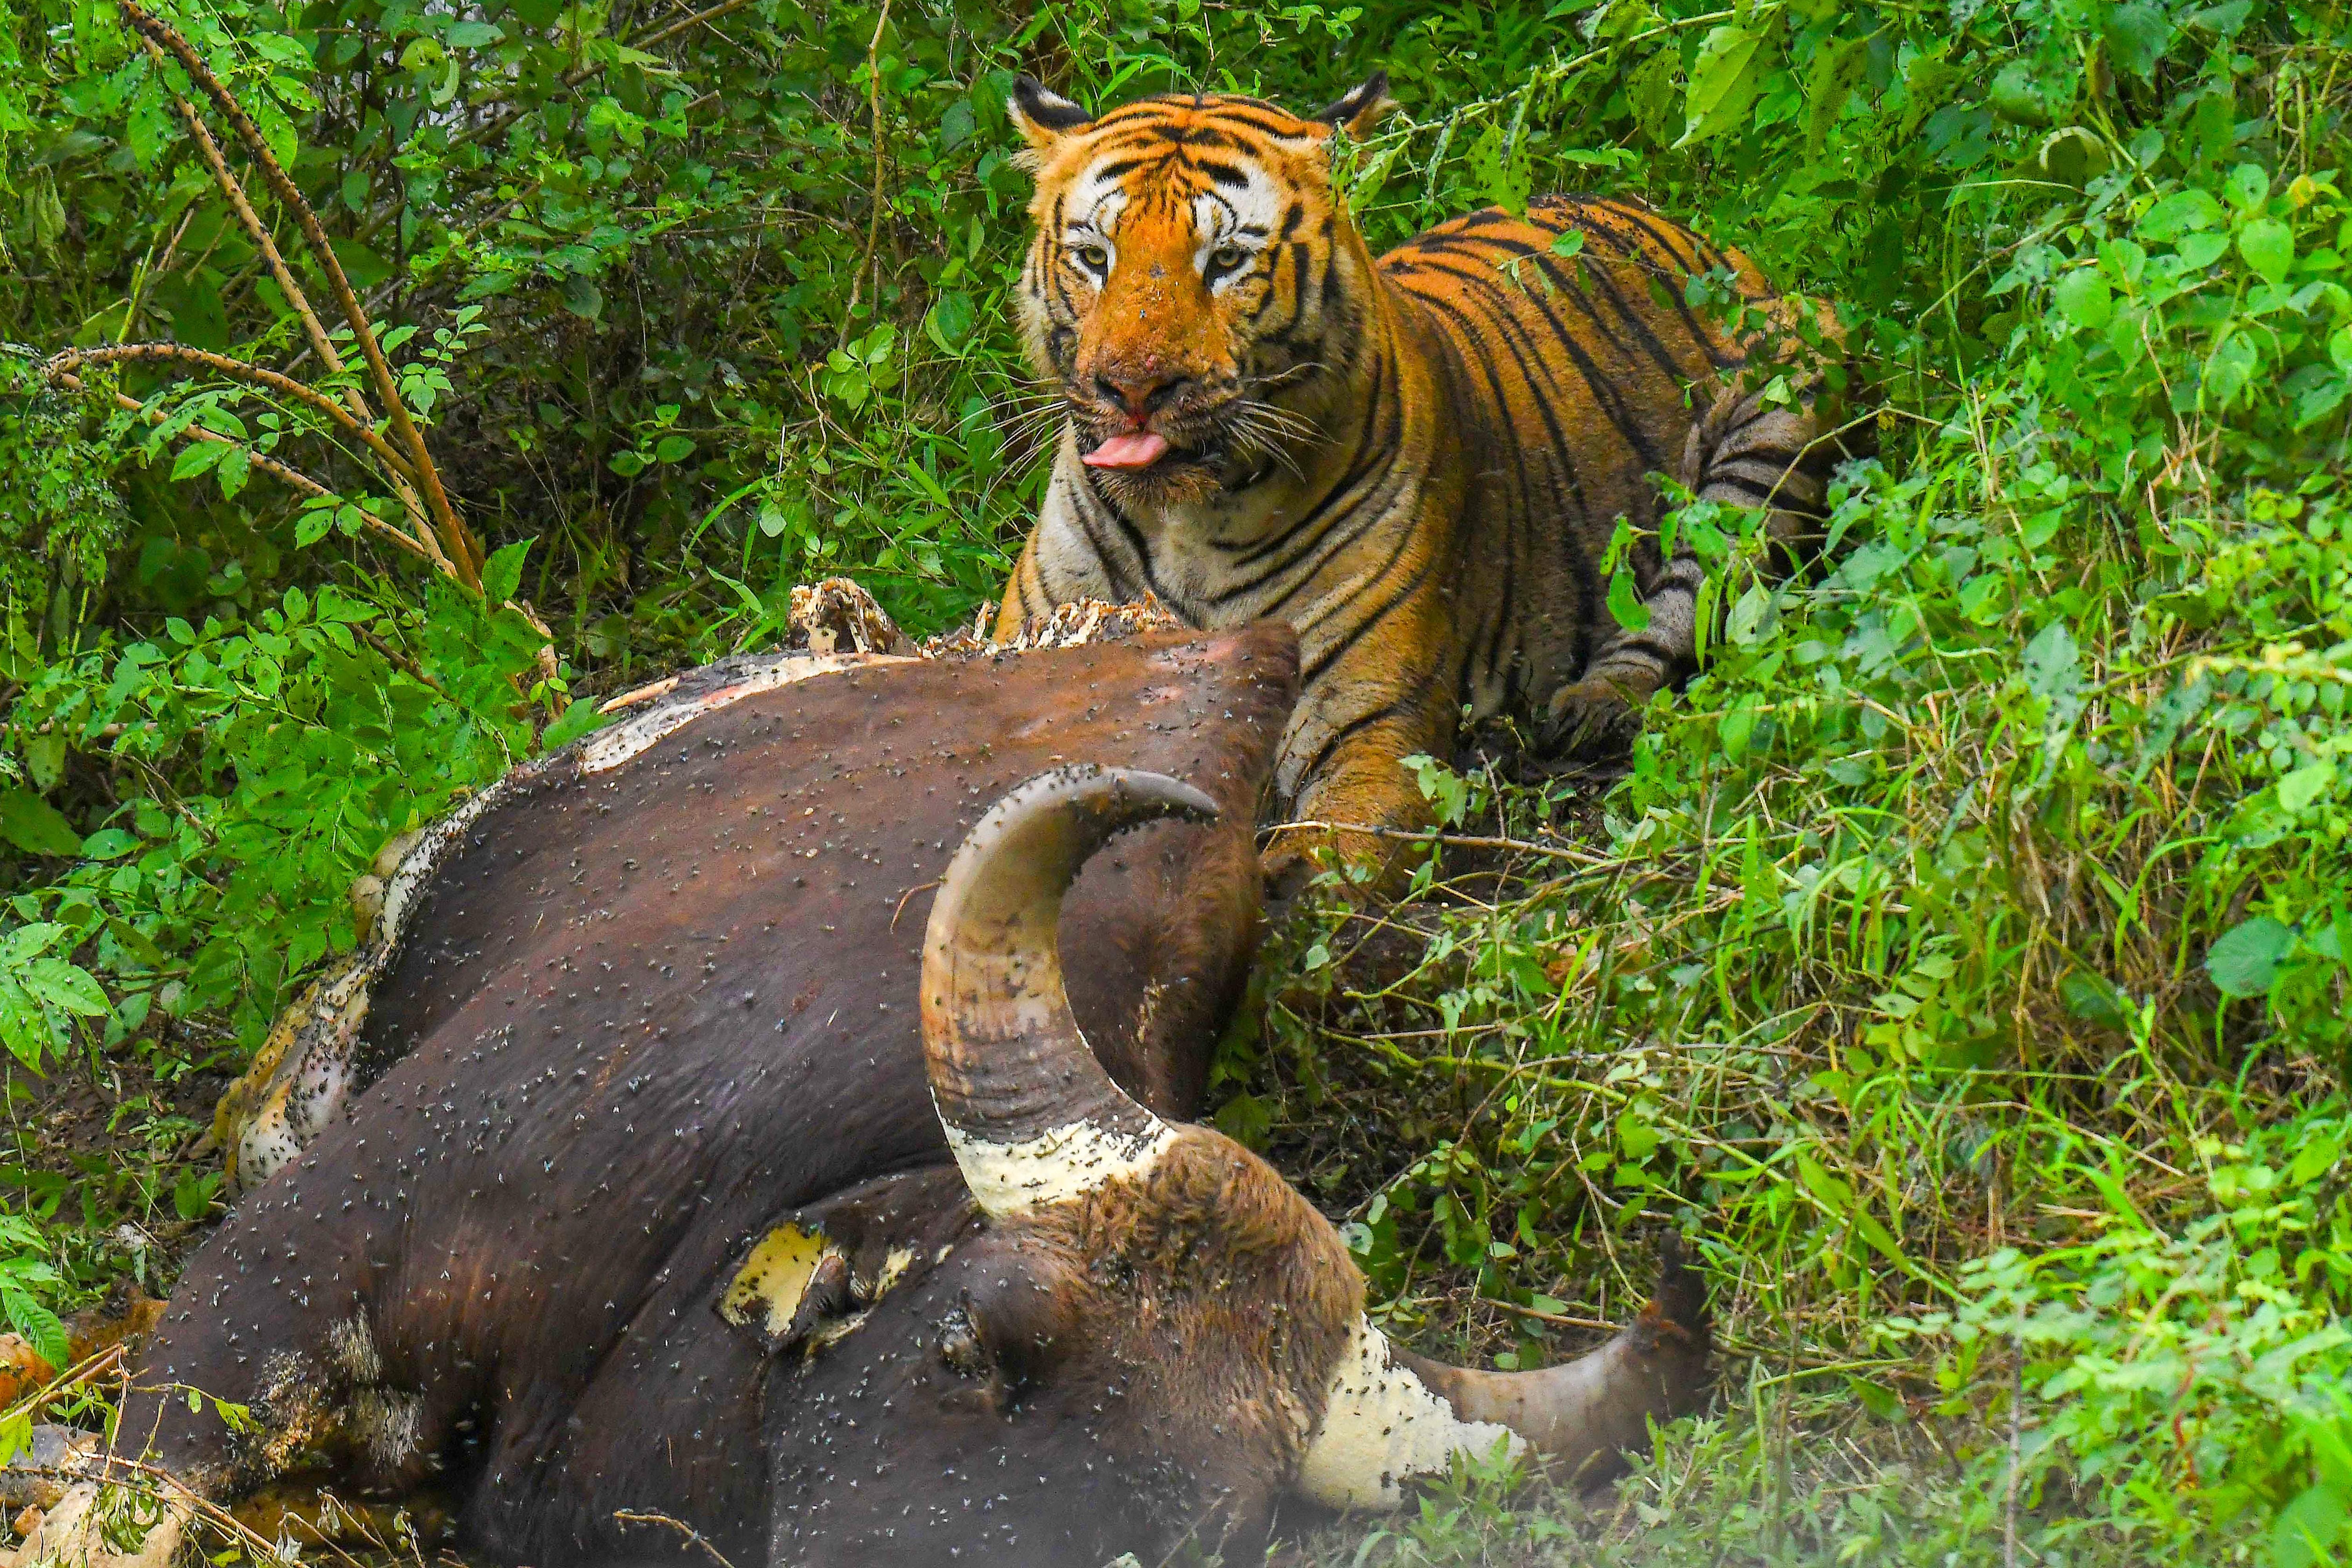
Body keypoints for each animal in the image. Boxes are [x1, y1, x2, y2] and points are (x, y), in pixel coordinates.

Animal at [994, 71, 1867, 883]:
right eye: (1094, 258)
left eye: (1227, 262)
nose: (1134, 389)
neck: (1187, 530)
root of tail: (1689, 232)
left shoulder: (1369, 733)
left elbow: (1306, 874)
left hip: (1792, 384)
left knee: (1691, 600)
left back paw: (1587, 711)